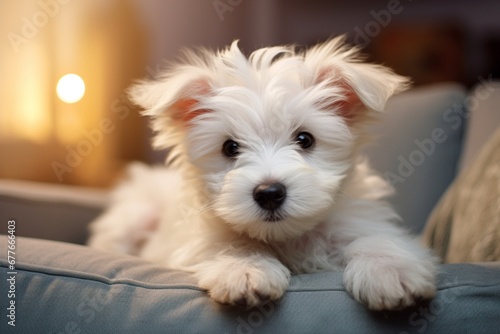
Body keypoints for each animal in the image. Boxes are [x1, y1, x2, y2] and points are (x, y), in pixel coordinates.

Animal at [89, 36, 438, 310]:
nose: (269, 193)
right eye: (230, 147)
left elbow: (373, 238)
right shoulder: (197, 240)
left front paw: (390, 271)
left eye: (305, 139)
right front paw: (245, 271)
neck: (286, 236)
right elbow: (233, 244)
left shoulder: (360, 220)